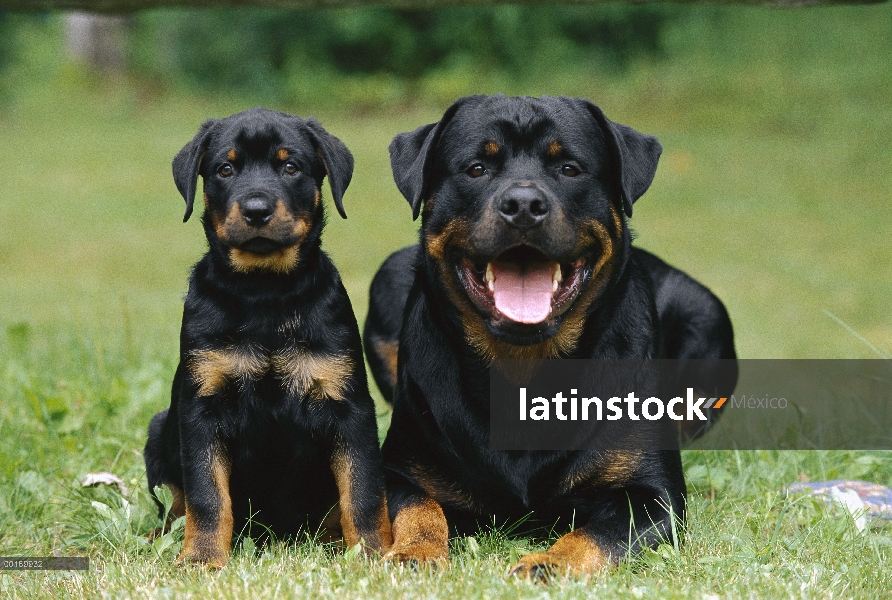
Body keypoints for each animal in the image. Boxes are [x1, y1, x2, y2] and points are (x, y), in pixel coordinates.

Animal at [144, 106, 390, 568]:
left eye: (290, 166)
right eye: (225, 169)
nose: (256, 210)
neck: (265, 294)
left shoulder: (350, 408)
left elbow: (363, 490)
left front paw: (372, 553)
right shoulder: (201, 409)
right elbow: (207, 495)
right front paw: (202, 557)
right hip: (159, 427)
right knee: (176, 503)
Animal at [370, 96, 740, 580]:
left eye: (569, 169)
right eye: (475, 168)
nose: (524, 204)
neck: (524, 368)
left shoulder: (652, 494)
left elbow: (598, 533)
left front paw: (549, 563)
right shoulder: (401, 470)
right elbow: (419, 507)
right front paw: (415, 552)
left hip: (707, 316)